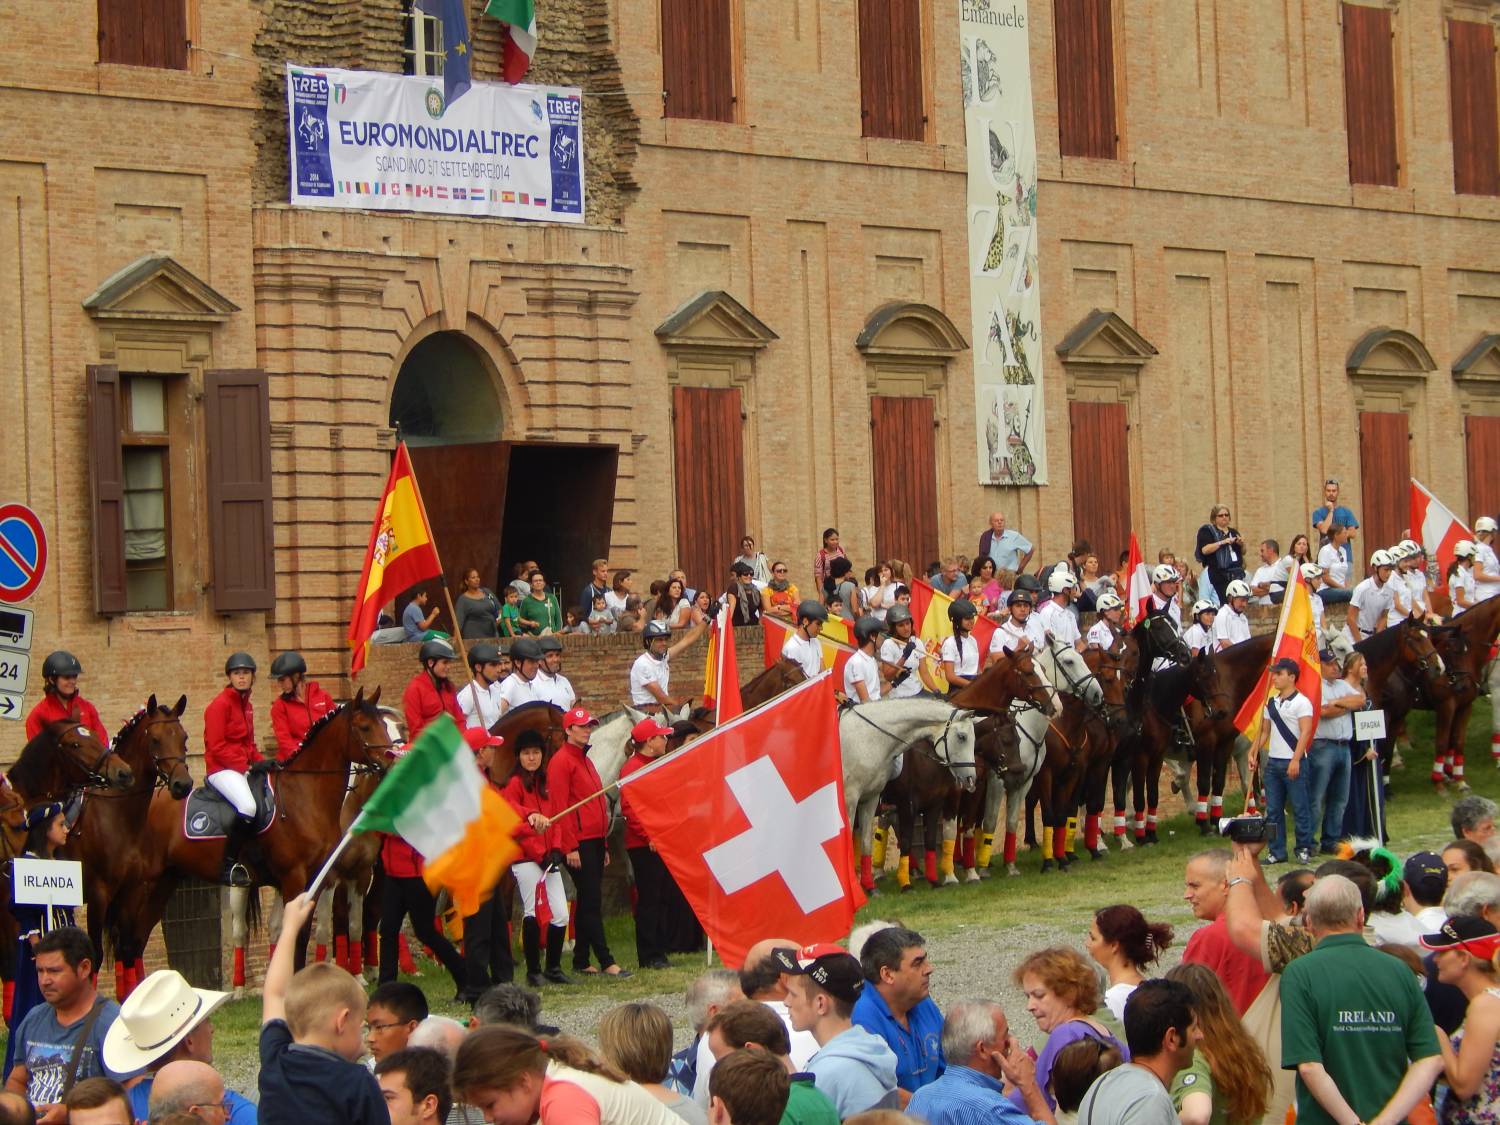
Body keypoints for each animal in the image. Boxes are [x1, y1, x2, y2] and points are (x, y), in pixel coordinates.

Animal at [66, 696, 193, 1002]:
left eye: (183, 738)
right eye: (155, 739)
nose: (183, 784)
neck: (118, 815)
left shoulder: (131, 893)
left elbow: (127, 952)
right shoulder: (99, 894)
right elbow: (95, 955)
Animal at [840, 702, 978, 894]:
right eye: (962, 737)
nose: (970, 779)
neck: (869, 739)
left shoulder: (872, 799)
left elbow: (927, 841)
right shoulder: (901, 804)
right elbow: (905, 841)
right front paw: (905, 884)